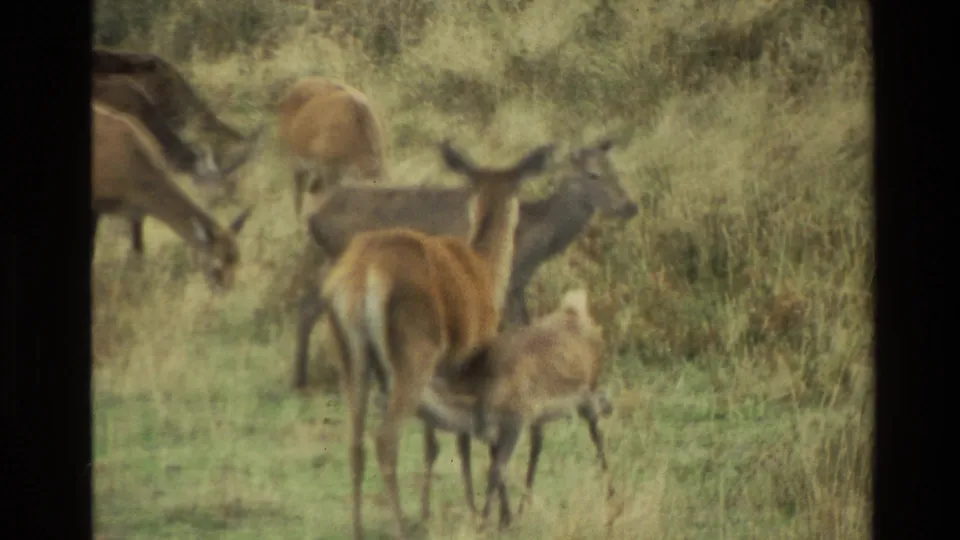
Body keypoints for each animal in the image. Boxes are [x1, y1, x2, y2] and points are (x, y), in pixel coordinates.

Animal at [289, 138, 637, 389]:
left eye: (616, 171)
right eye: (593, 175)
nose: (629, 206)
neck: (533, 238)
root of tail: (314, 219)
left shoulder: (517, 285)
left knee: (308, 306)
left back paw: (304, 379)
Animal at [319, 141, 553, 540]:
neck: (482, 270)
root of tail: (361, 275)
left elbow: (433, 441)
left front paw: (431, 512)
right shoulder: (469, 363)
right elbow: (468, 438)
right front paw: (488, 515)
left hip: (352, 363)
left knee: (354, 443)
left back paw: (360, 528)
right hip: (414, 360)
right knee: (385, 440)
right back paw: (400, 526)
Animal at [412, 287, 614, 530]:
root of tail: (577, 310)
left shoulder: (516, 418)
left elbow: (496, 470)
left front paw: (485, 523)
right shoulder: (494, 431)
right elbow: (494, 467)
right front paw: (502, 520)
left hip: (587, 392)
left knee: (596, 434)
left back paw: (611, 495)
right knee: (542, 444)